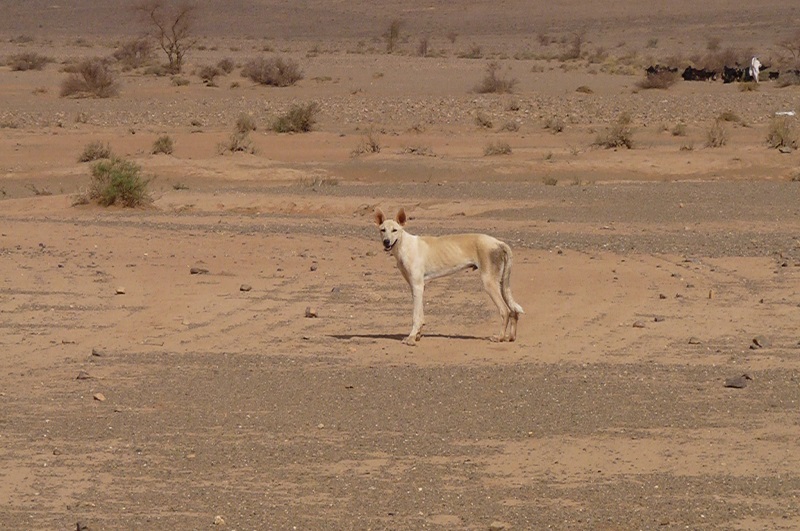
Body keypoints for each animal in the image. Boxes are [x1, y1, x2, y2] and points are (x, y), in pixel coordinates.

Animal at [376, 206, 524, 348]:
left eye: (395, 230)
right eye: (382, 230)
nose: (386, 242)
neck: (404, 246)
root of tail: (498, 242)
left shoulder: (417, 286)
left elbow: (415, 316)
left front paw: (411, 338)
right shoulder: (418, 287)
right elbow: (421, 315)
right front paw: (417, 335)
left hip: (489, 283)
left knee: (505, 310)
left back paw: (499, 337)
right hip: (501, 283)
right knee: (513, 311)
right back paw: (510, 337)